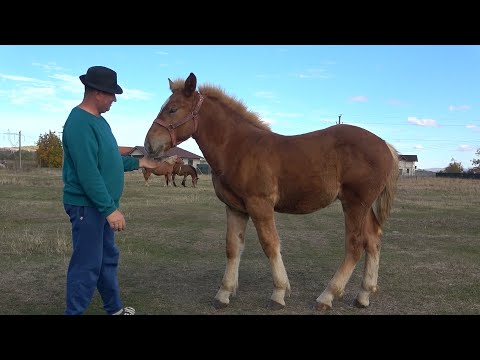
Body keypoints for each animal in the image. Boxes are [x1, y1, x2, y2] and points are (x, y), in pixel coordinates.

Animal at [144, 71, 400, 310]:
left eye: (172, 109)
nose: (149, 145)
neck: (238, 147)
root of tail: (385, 145)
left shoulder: (260, 204)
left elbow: (270, 244)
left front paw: (278, 293)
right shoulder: (235, 208)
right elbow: (233, 247)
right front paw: (224, 293)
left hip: (355, 204)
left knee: (355, 245)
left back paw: (327, 296)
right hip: (364, 206)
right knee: (373, 240)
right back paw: (363, 295)